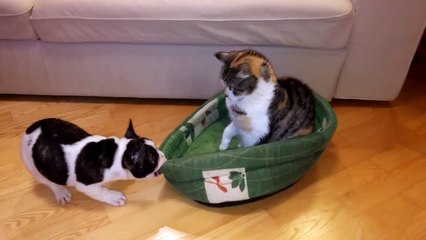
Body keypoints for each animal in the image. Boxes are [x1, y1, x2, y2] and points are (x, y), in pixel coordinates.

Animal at [21, 118, 166, 206]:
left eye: (156, 146)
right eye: (153, 160)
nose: (163, 155)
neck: (117, 154)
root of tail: (30, 130)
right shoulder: (86, 185)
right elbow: (101, 192)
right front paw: (114, 197)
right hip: (33, 167)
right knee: (49, 181)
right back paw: (60, 192)